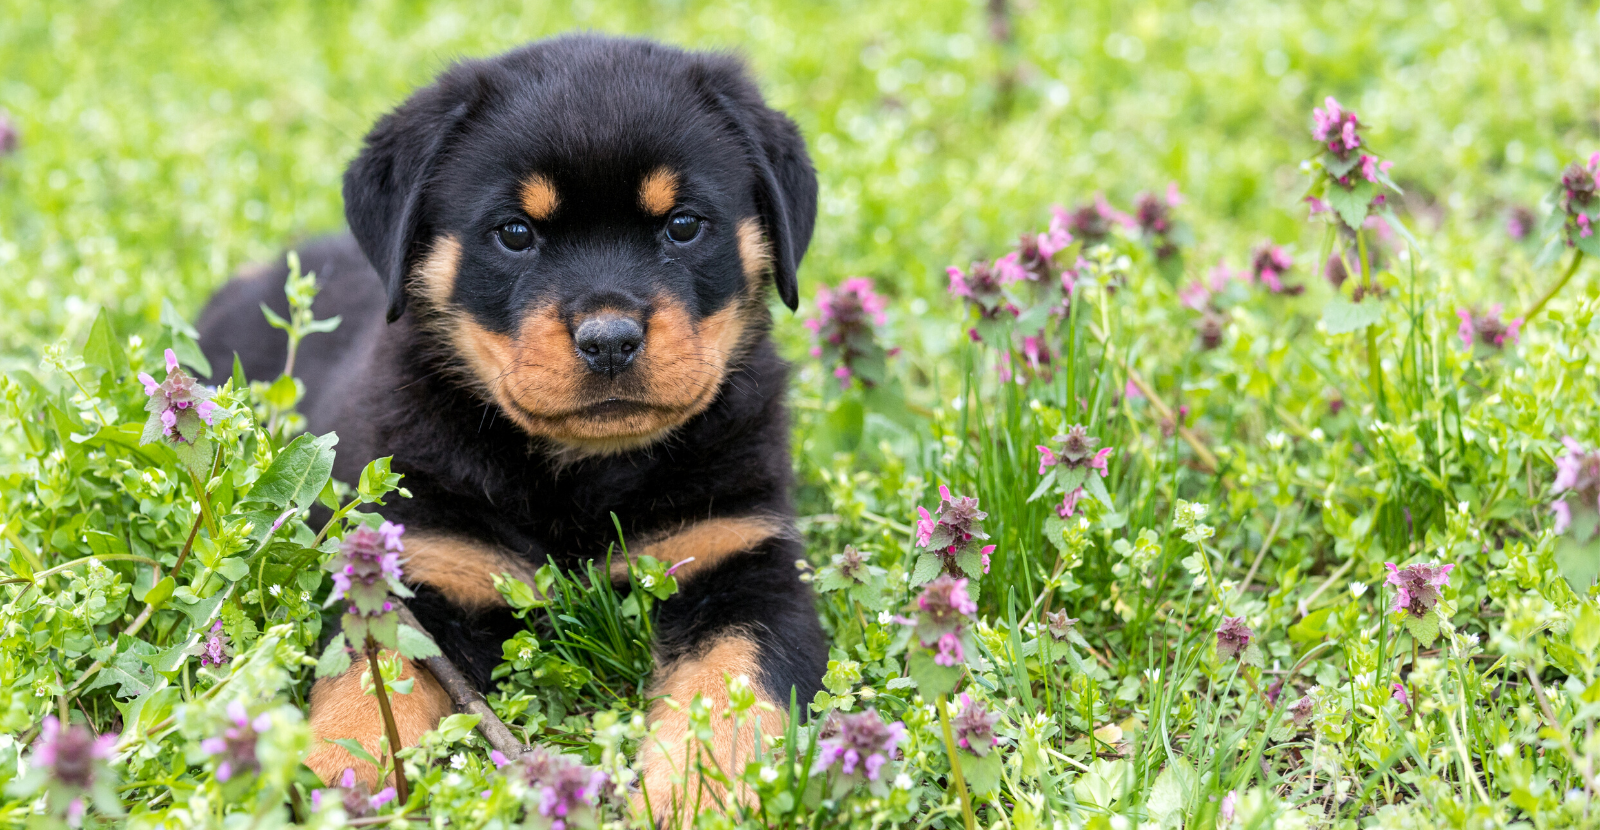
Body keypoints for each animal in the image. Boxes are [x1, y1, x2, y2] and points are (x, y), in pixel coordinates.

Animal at [192, 34, 825, 818]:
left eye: (683, 225)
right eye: (515, 233)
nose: (609, 339)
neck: (581, 476)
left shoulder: (738, 554)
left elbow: (733, 681)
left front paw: (701, 792)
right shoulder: (422, 561)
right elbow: (368, 680)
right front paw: (336, 774)